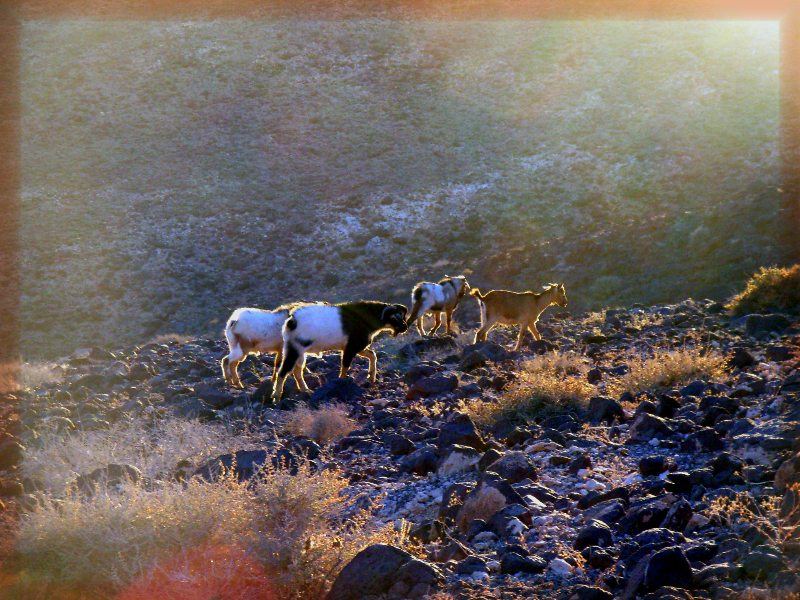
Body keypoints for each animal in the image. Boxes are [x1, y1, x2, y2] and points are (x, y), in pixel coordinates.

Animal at [272, 302, 410, 400]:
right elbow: (345, 366)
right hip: (294, 349)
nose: (405, 327)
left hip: (299, 352)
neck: (365, 318)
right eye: (393, 317)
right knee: (283, 371)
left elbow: (372, 355)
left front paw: (371, 377)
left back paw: (305, 390)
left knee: (297, 371)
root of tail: (292, 321)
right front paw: (341, 382)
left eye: (401, 315)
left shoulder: (355, 347)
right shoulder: (352, 347)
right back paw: (276, 396)